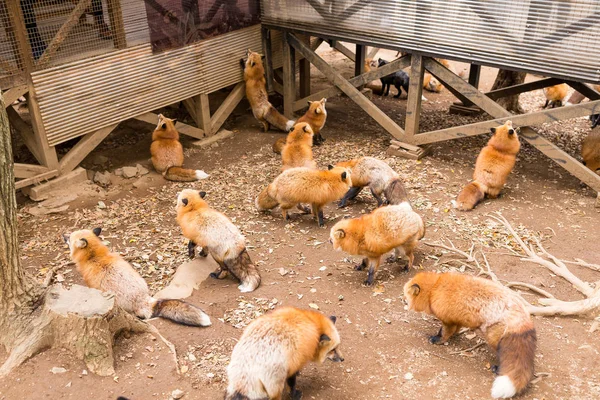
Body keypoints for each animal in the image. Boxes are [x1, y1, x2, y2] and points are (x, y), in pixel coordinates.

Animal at [406, 270, 536, 398]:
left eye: (406, 298)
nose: (405, 306)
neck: (434, 289)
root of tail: (523, 318)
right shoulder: (456, 319)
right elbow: (454, 330)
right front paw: (453, 336)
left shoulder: (448, 320)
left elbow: (444, 333)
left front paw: (438, 340)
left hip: (495, 339)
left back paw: (497, 368)